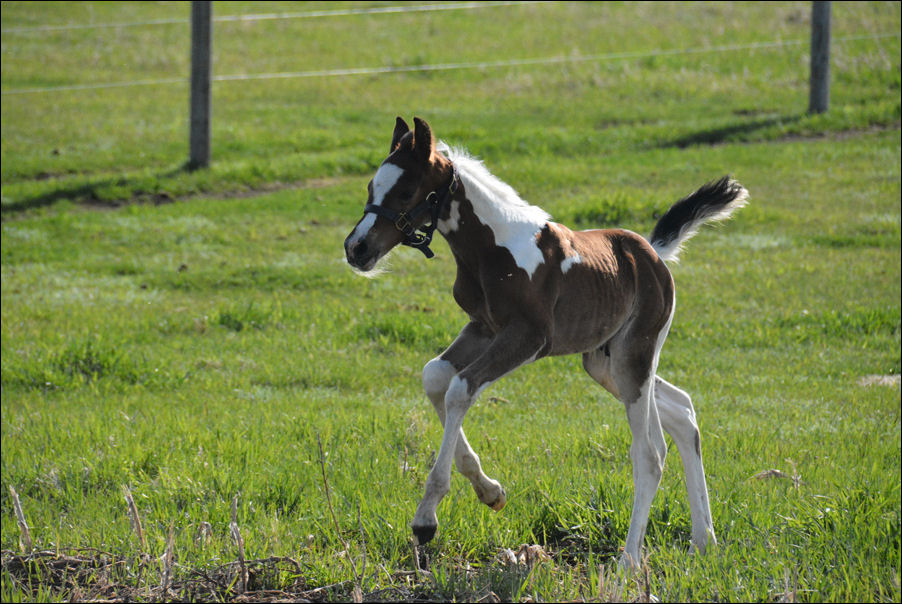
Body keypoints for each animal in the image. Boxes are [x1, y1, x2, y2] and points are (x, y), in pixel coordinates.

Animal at [342, 117, 752, 568]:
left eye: (405, 191)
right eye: (370, 188)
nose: (356, 247)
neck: (491, 247)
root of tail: (655, 254)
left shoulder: (528, 336)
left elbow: (460, 388)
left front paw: (426, 519)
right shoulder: (484, 327)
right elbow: (436, 377)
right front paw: (490, 491)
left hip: (635, 355)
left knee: (649, 453)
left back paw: (629, 562)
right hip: (604, 362)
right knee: (682, 409)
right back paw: (704, 540)